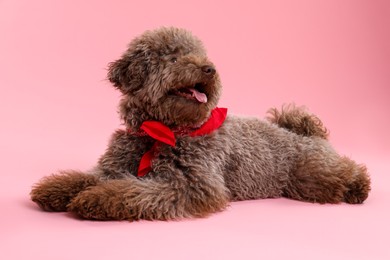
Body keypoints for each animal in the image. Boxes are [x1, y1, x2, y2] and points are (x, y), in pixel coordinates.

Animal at [31, 27, 372, 220]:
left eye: (200, 55)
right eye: (173, 58)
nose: (210, 69)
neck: (161, 130)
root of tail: (301, 131)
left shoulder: (193, 186)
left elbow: (133, 191)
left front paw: (96, 199)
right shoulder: (114, 166)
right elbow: (88, 176)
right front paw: (57, 188)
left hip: (310, 175)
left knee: (344, 170)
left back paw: (358, 185)